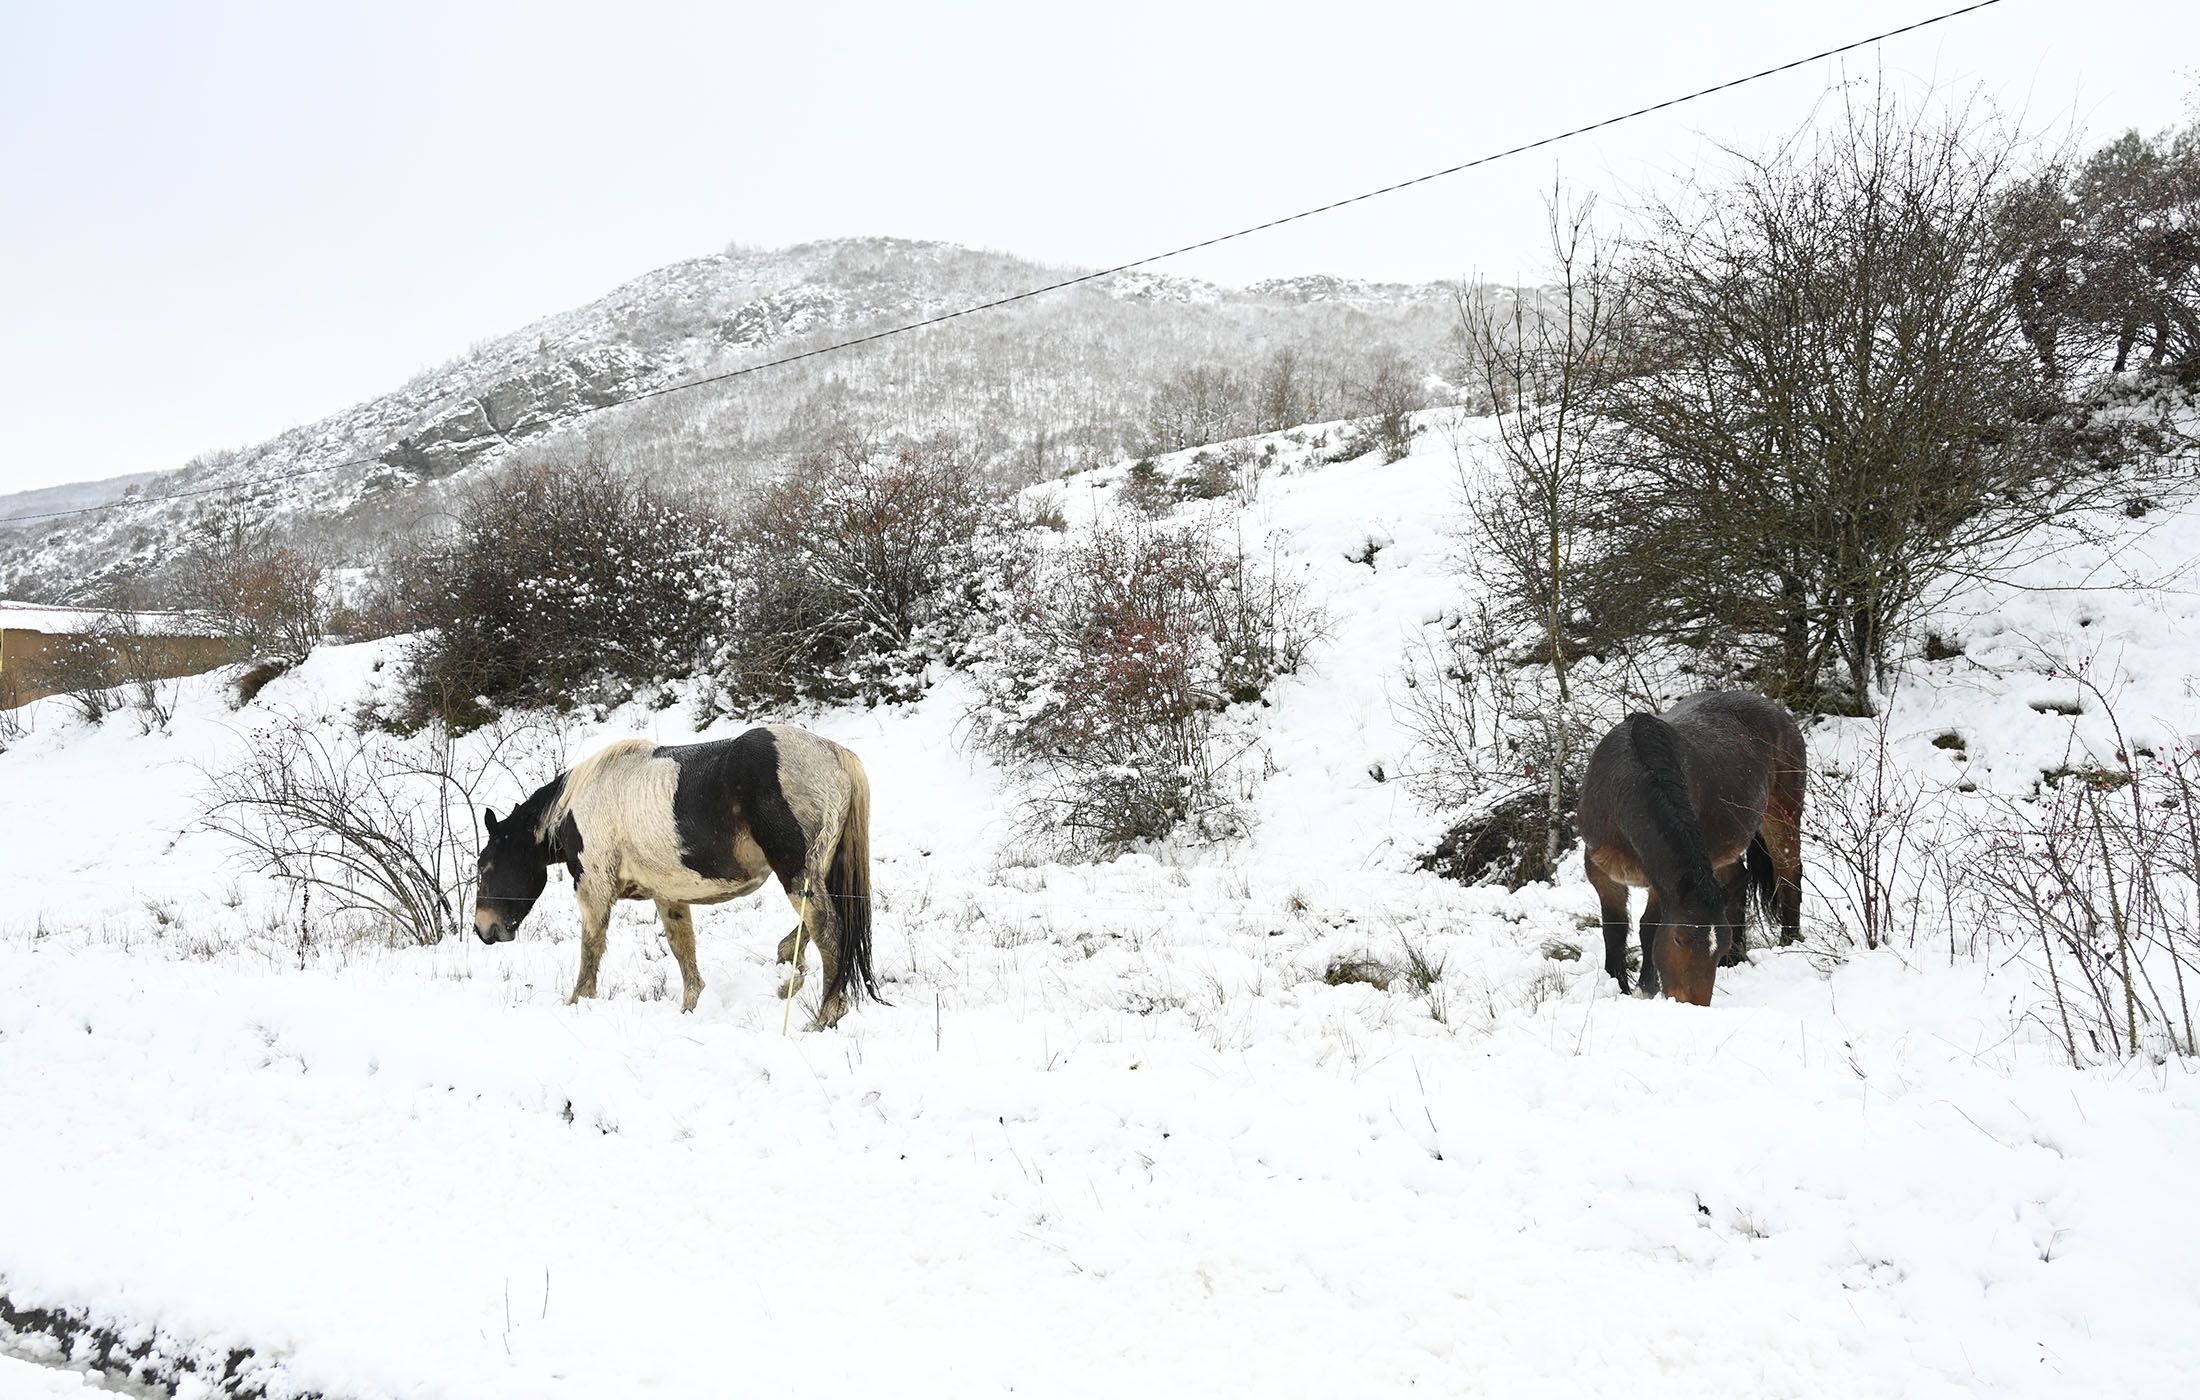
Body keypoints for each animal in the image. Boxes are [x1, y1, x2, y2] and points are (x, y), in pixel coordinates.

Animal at [477, 726, 880, 1034]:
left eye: (486, 867)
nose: (484, 929)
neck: (578, 806)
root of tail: (834, 756)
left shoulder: (594, 888)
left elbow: (591, 948)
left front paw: (578, 1001)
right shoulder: (668, 894)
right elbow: (682, 949)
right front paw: (690, 1008)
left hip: (797, 872)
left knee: (828, 931)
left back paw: (823, 1016)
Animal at [1584, 691, 1804, 1008]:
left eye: (1717, 945)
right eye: (1679, 939)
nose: (1692, 1005)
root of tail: (1779, 712)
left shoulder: (1659, 883)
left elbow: (1649, 927)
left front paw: (1644, 990)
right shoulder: (1601, 874)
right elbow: (1614, 930)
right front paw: (1618, 987)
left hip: (1782, 814)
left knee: (1788, 875)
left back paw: (1789, 943)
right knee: (1740, 880)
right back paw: (1736, 959)